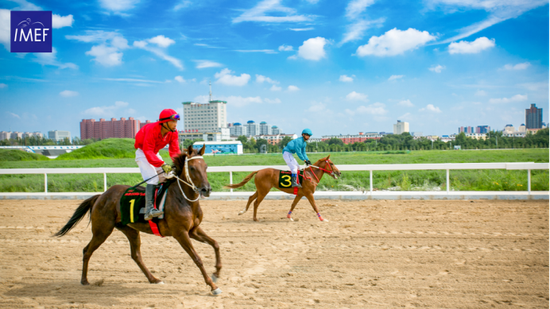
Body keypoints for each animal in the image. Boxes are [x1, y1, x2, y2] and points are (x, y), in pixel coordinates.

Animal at [53, 144, 222, 294]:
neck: (183, 199)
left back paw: (154, 279)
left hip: (130, 230)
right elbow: (197, 258)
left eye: (206, 167)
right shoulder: (180, 233)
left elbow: (216, 244)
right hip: (102, 230)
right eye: (192, 168)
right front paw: (213, 286)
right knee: (87, 250)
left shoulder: (193, 230)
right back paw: (84, 280)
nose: (206, 189)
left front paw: (217, 273)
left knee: (136, 255)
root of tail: (101, 196)